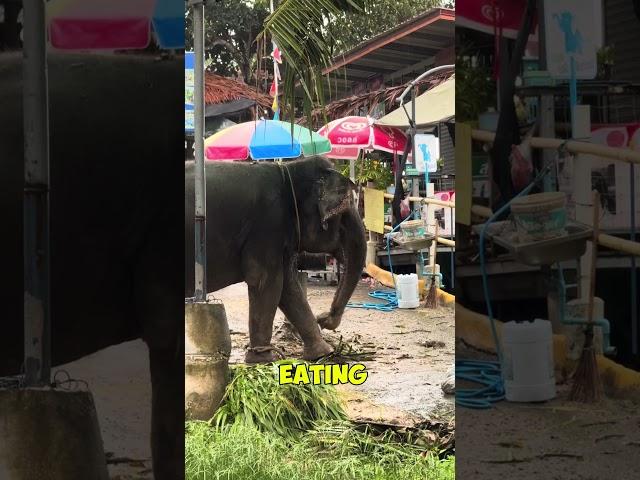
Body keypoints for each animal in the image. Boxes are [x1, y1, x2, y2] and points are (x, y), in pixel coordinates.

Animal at [182, 156, 368, 362]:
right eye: (342, 214)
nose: (324, 318)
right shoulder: (268, 226)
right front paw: (262, 360)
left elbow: (289, 287)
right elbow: (267, 282)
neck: (288, 171)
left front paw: (322, 354)